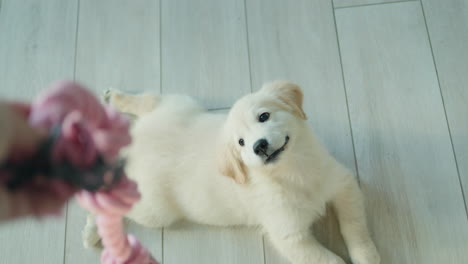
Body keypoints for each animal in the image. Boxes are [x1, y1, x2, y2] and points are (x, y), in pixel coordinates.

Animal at [83, 81, 380, 262]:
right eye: (241, 143)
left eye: (264, 116)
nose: (260, 146)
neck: (292, 171)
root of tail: (133, 142)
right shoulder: (290, 236)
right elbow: (329, 259)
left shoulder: (344, 185)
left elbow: (354, 226)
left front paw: (367, 255)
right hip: (154, 209)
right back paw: (92, 228)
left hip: (178, 105)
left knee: (149, 101)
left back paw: (115, 98)